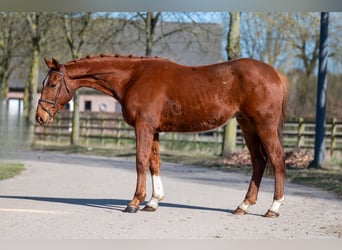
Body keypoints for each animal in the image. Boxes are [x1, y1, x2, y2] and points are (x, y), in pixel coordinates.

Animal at [36, 54, 288, 217]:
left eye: (53, 84)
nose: (40, 117)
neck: (133, 78)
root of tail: (276, 74)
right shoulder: (154, 130)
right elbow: (154, 163)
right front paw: (153, 201)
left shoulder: (143, 127)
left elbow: (140, 162)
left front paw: (134, 202)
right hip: (247, 125)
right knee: (258, 161)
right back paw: (244, 205)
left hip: (264, 126)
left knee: (276, 160)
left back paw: (274, 208)